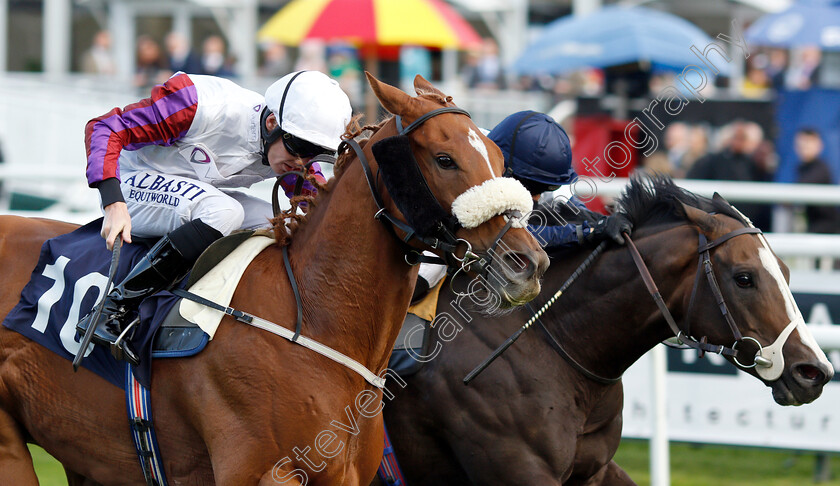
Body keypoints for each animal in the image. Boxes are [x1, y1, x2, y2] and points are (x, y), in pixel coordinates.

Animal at [0, 73, 552, 486]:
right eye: (444, 159)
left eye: (499, 159)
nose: (528, 264)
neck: (312, 318)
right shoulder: (262, 472)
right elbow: (109, 124)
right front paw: (115, 213)